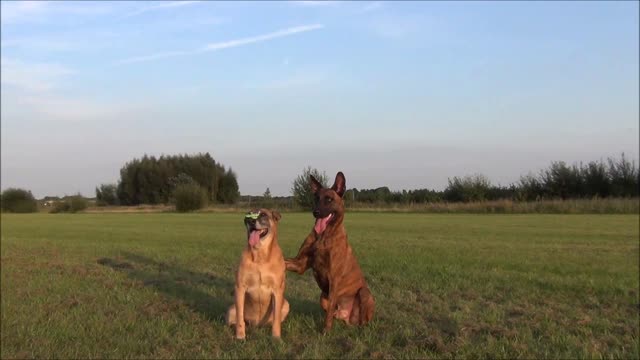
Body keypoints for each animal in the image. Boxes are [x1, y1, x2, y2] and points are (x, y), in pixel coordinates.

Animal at [226, 208, 288, 340]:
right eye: (248, 215)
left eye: (263, 214)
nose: (250, 221)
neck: (260, 256)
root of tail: (258, 325)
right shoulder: (240, 288)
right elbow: (240, 318)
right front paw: (240, 336)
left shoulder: (277, 290)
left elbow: (276, 318)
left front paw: (276, 338)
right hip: (231, 309)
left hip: (286, 304)